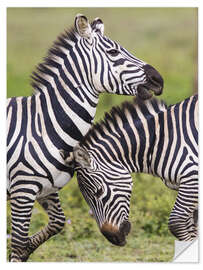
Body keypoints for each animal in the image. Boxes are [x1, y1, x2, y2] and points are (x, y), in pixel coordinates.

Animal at [7, 14, 164, 262]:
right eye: (113, 52)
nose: (159, 79)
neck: (45, 125)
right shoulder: (22, 189)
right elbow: (19, 241)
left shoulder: (47, 188)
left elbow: (56, 224)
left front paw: (26, 248)